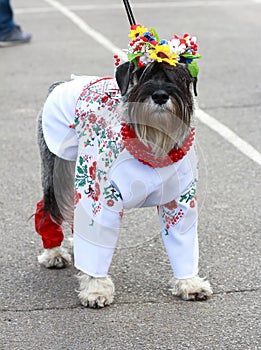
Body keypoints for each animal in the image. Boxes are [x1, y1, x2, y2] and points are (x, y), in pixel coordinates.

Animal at [34, 26, 212, 306]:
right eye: (141, 73)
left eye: (177, 75)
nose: (160, 95)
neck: (151, 143)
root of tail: (62, 83)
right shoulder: (99, 199)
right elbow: (96, 244)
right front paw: (96, 290)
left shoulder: (180, 202)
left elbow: (182, 242)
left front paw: (190, 283)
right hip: (56, 170)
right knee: (49, 206)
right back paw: (53, 253)